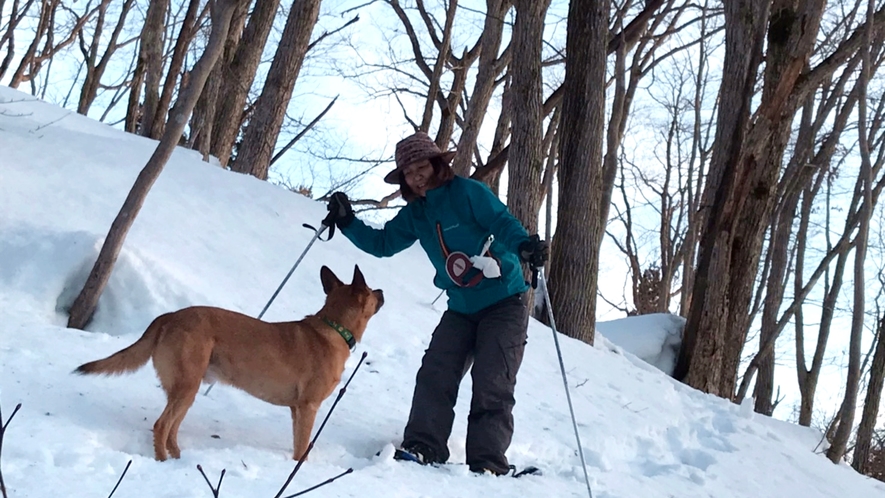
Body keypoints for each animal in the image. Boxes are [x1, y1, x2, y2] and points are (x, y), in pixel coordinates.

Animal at [73, 266, 384, 462]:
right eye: (370, 290)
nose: (382, 291)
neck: (335, 327)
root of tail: (169, 316)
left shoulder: (297, 409)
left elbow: (298, 442)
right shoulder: (308, 407)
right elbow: (301, 450)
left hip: (187, 389)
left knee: (172, 429)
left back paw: (178, 459)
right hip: (187, 386)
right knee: (161, 426)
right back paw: (162, 462)